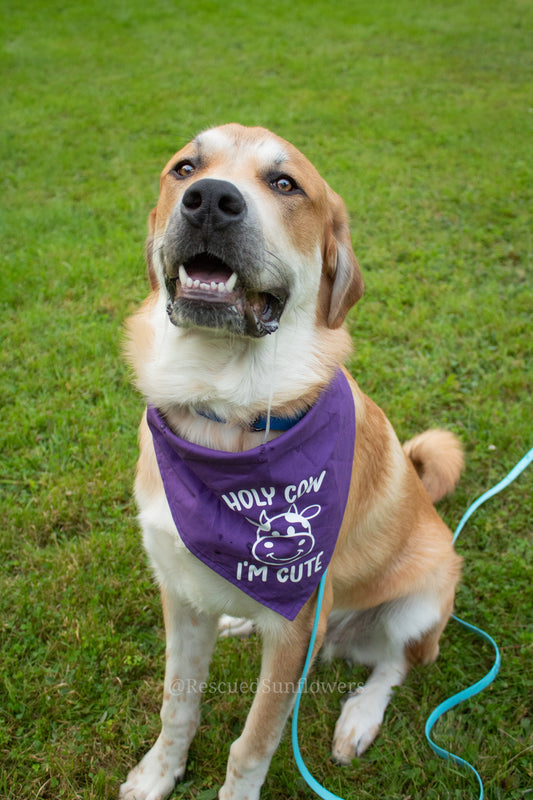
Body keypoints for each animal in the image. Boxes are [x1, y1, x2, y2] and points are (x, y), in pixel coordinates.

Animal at [119, 123, 462, 800]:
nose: (209, 200)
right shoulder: (179, 591)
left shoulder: (297, 629)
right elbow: (177, 704)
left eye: (284, 184)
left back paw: (359, 717)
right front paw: (158, 774)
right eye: (185, 168)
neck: (225, 412)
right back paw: (240, 622)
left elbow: (252, 744)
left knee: (395, 665)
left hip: (420, 601)